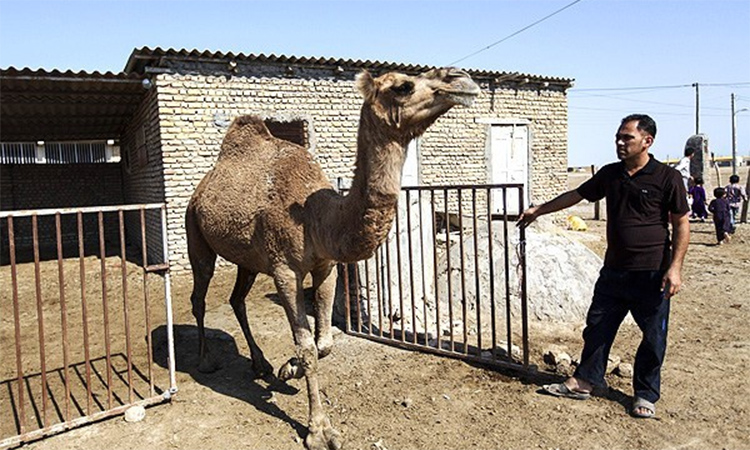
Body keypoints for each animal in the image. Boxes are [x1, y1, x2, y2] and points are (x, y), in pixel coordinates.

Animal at [185, 67, 480, 450]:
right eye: (403, 86)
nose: (462, 80)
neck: (316, 216)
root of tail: (200, 190)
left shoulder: (326, 266)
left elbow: (324, 342)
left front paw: (287, 369)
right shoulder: (284, 270)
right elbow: (308, 346)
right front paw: (319, 430)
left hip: (247, 259)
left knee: (237, 299)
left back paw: (261, 364)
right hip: (195, 233)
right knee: (200, 296)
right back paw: (206, 361)